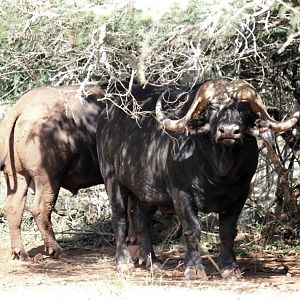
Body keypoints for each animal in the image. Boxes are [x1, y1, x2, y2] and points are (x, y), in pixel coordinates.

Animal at [0, 84, 105, 260]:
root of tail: (21, 107)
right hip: (48, 178)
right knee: (40, 209)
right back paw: (55, 249)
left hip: (18, 176)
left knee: (13, 207)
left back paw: (20, 252)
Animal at [96, 78, 300, 278]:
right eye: (212, 107)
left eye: (243, 109)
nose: (228, 131)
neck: (220, 172)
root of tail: (107, 116)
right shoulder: (181, 193)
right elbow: (192, 229)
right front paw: (194, 268)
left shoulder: (240, 194)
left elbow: (227, 231)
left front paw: (229, 267)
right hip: (112, 179)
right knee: (119, 217)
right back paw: (123, 263)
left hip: (145, 191)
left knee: (142, 219)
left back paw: (152, 261)